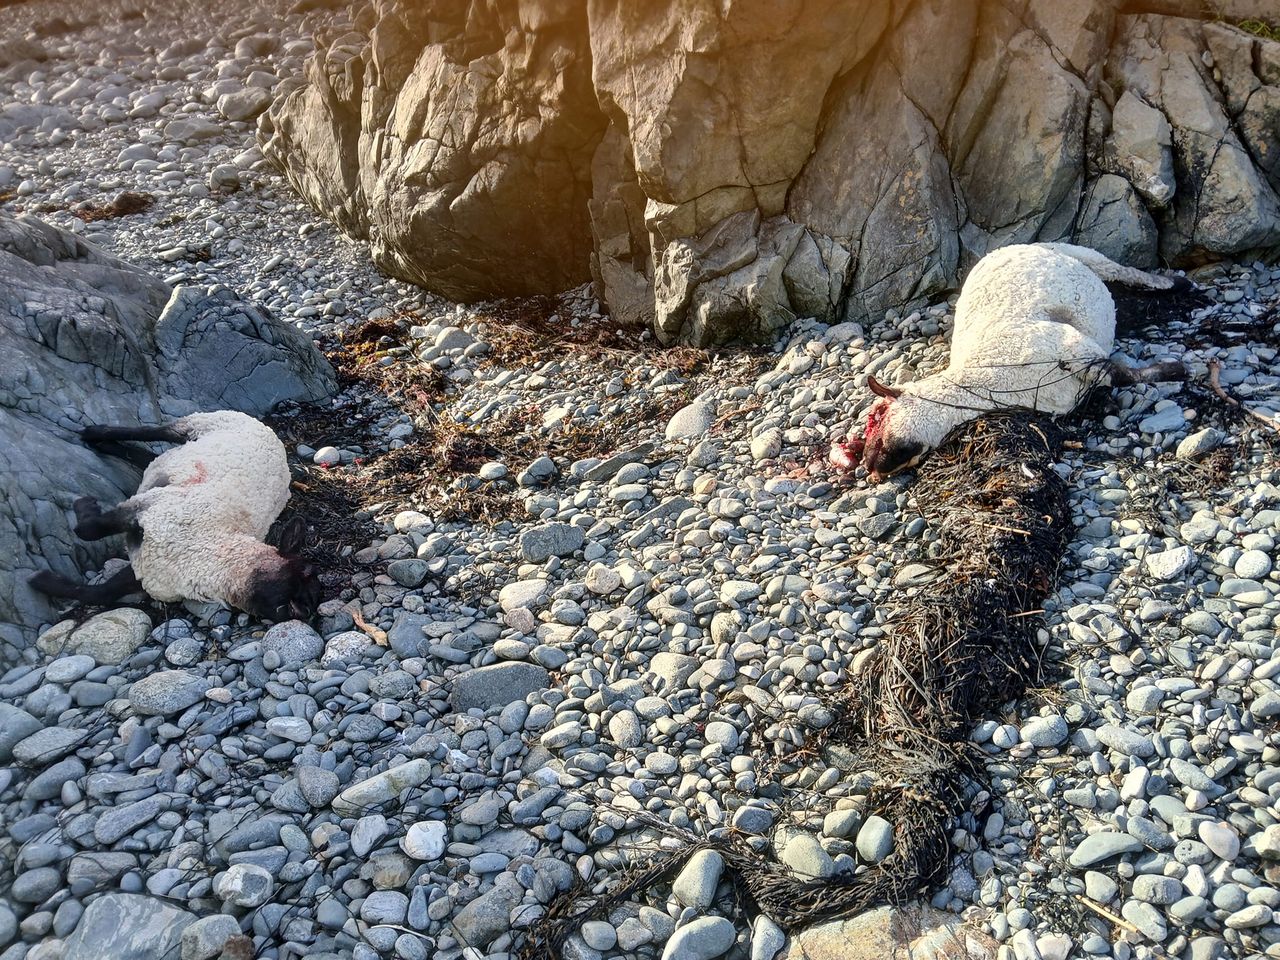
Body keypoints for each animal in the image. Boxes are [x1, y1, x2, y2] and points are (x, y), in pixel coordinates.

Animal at [30, 410, 321, 621]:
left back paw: (107, 446)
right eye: (303, 576)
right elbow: (90, 529)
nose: (307, 612)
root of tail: (272, 435)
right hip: (203, 423)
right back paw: (94, 434)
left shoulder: (144, 568)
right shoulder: (150, 509)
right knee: (151, 432)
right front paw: (84, 504)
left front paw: (43, 582)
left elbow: (100, 593)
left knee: (147, 457)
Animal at [833, 243, 1190, 480]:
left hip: (1077, 253)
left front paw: (1176, 370)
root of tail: (1007, 247)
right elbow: (1118, 376)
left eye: (875, 416)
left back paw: (1177, 283)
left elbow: (1124, 375)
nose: (867, 468)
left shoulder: (1076, 348)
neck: (986, 380)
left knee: (1120, 269)